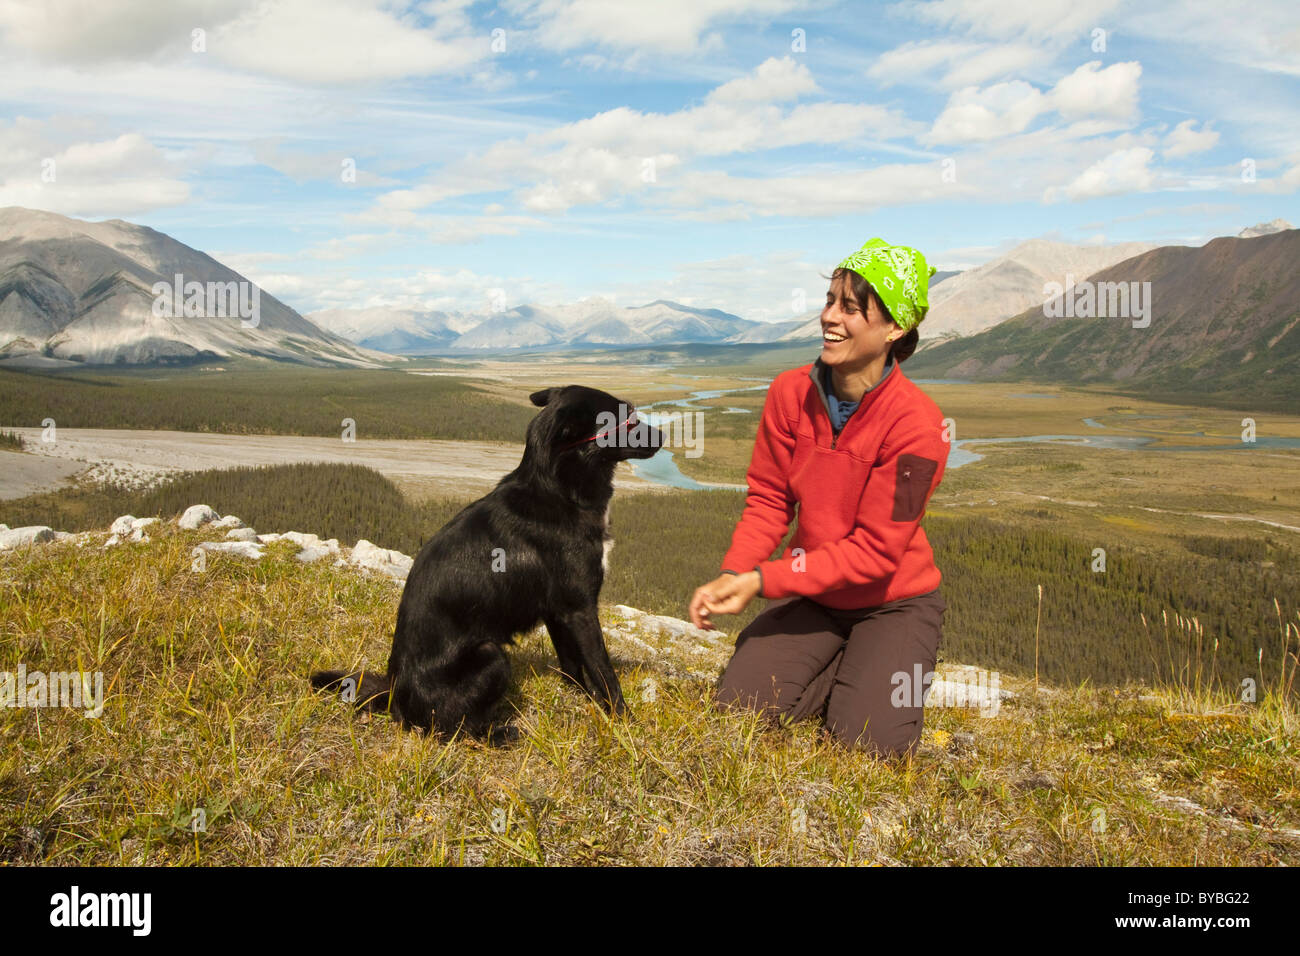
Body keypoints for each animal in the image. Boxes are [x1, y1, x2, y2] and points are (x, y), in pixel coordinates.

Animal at [312, 385, 660, 738]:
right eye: (624, 418)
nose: (662, 436)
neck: (558, 490)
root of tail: (395, 694)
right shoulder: (581, 610)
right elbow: (604, 673)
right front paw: (626, 724)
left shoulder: (558, 611)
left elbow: (571, 666)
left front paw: (582, 698)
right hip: (490, 655)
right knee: (450, 728)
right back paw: (501, 735)